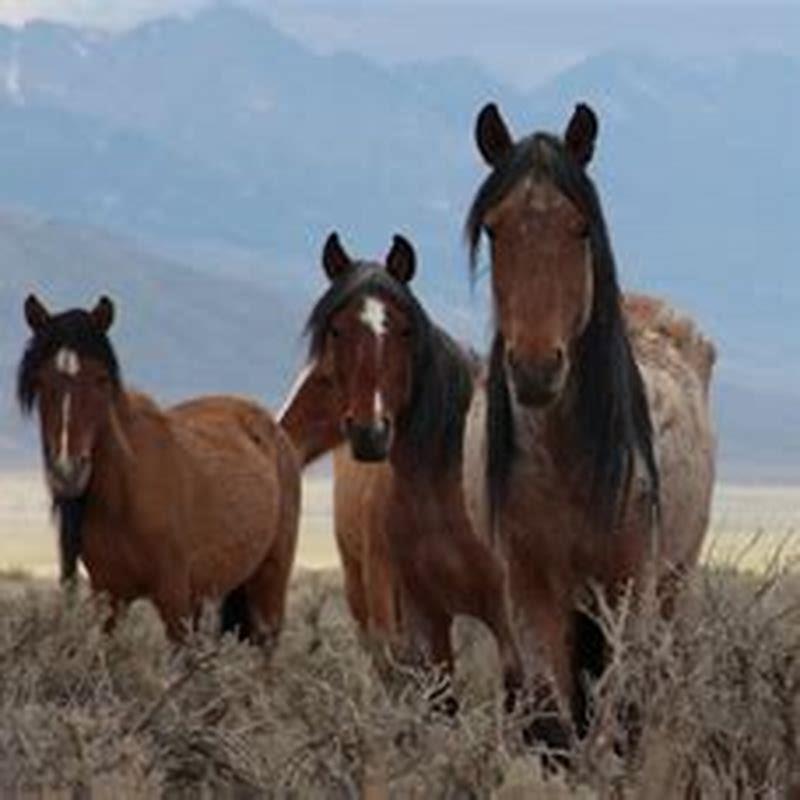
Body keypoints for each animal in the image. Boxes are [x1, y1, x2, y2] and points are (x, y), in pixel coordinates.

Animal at [17, 295, 300, 645]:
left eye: (101, 379)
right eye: (40, 381)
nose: (67, 471)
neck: (126, 495)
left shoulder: (174, 598)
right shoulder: (109, 599)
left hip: (269, 580)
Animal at [463, 102, 716, 746]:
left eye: (580, 226)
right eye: (494, 228)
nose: (534, 368)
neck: (564, 464)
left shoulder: (629, 588)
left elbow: (619, 714)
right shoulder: (531, 592)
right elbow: (555, 720)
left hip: (672, 585)